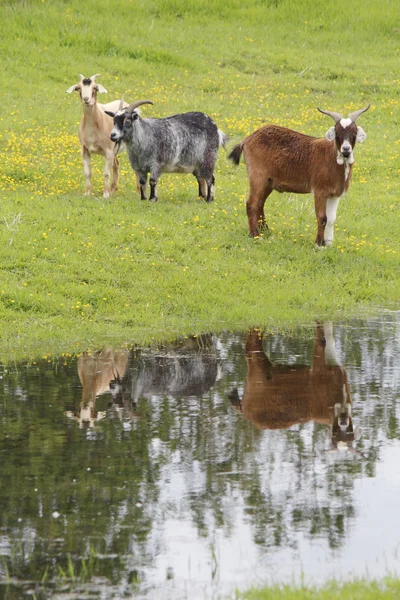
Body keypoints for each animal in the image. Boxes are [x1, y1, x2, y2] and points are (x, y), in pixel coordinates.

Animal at [228, 106, 368, 246]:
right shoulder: (320, 191)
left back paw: (265, 231)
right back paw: (255, 235)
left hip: (269, 182)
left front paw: (328, 244)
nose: (346, 150)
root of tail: (247, 140)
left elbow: (331, 219)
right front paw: (319, 244)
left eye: (354, 134)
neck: (332, 157)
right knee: (251, 203)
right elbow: (322, 217)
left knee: (260, 203)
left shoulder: (335, 194)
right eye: (337, 134)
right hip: (257, 176)